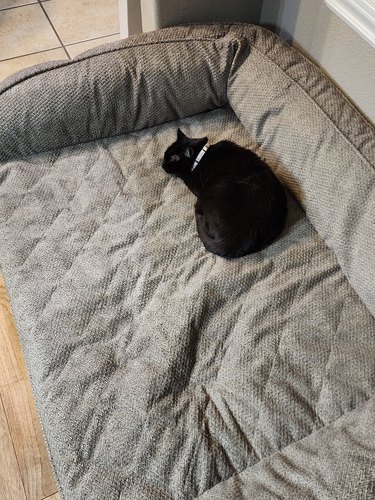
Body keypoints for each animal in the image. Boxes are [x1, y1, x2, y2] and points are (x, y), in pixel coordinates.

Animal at [162, 129, 288, 258]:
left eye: (171, 159)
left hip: (216, 188)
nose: (162, 164)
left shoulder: (194, 184)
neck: (200, 156)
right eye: (165, 156)